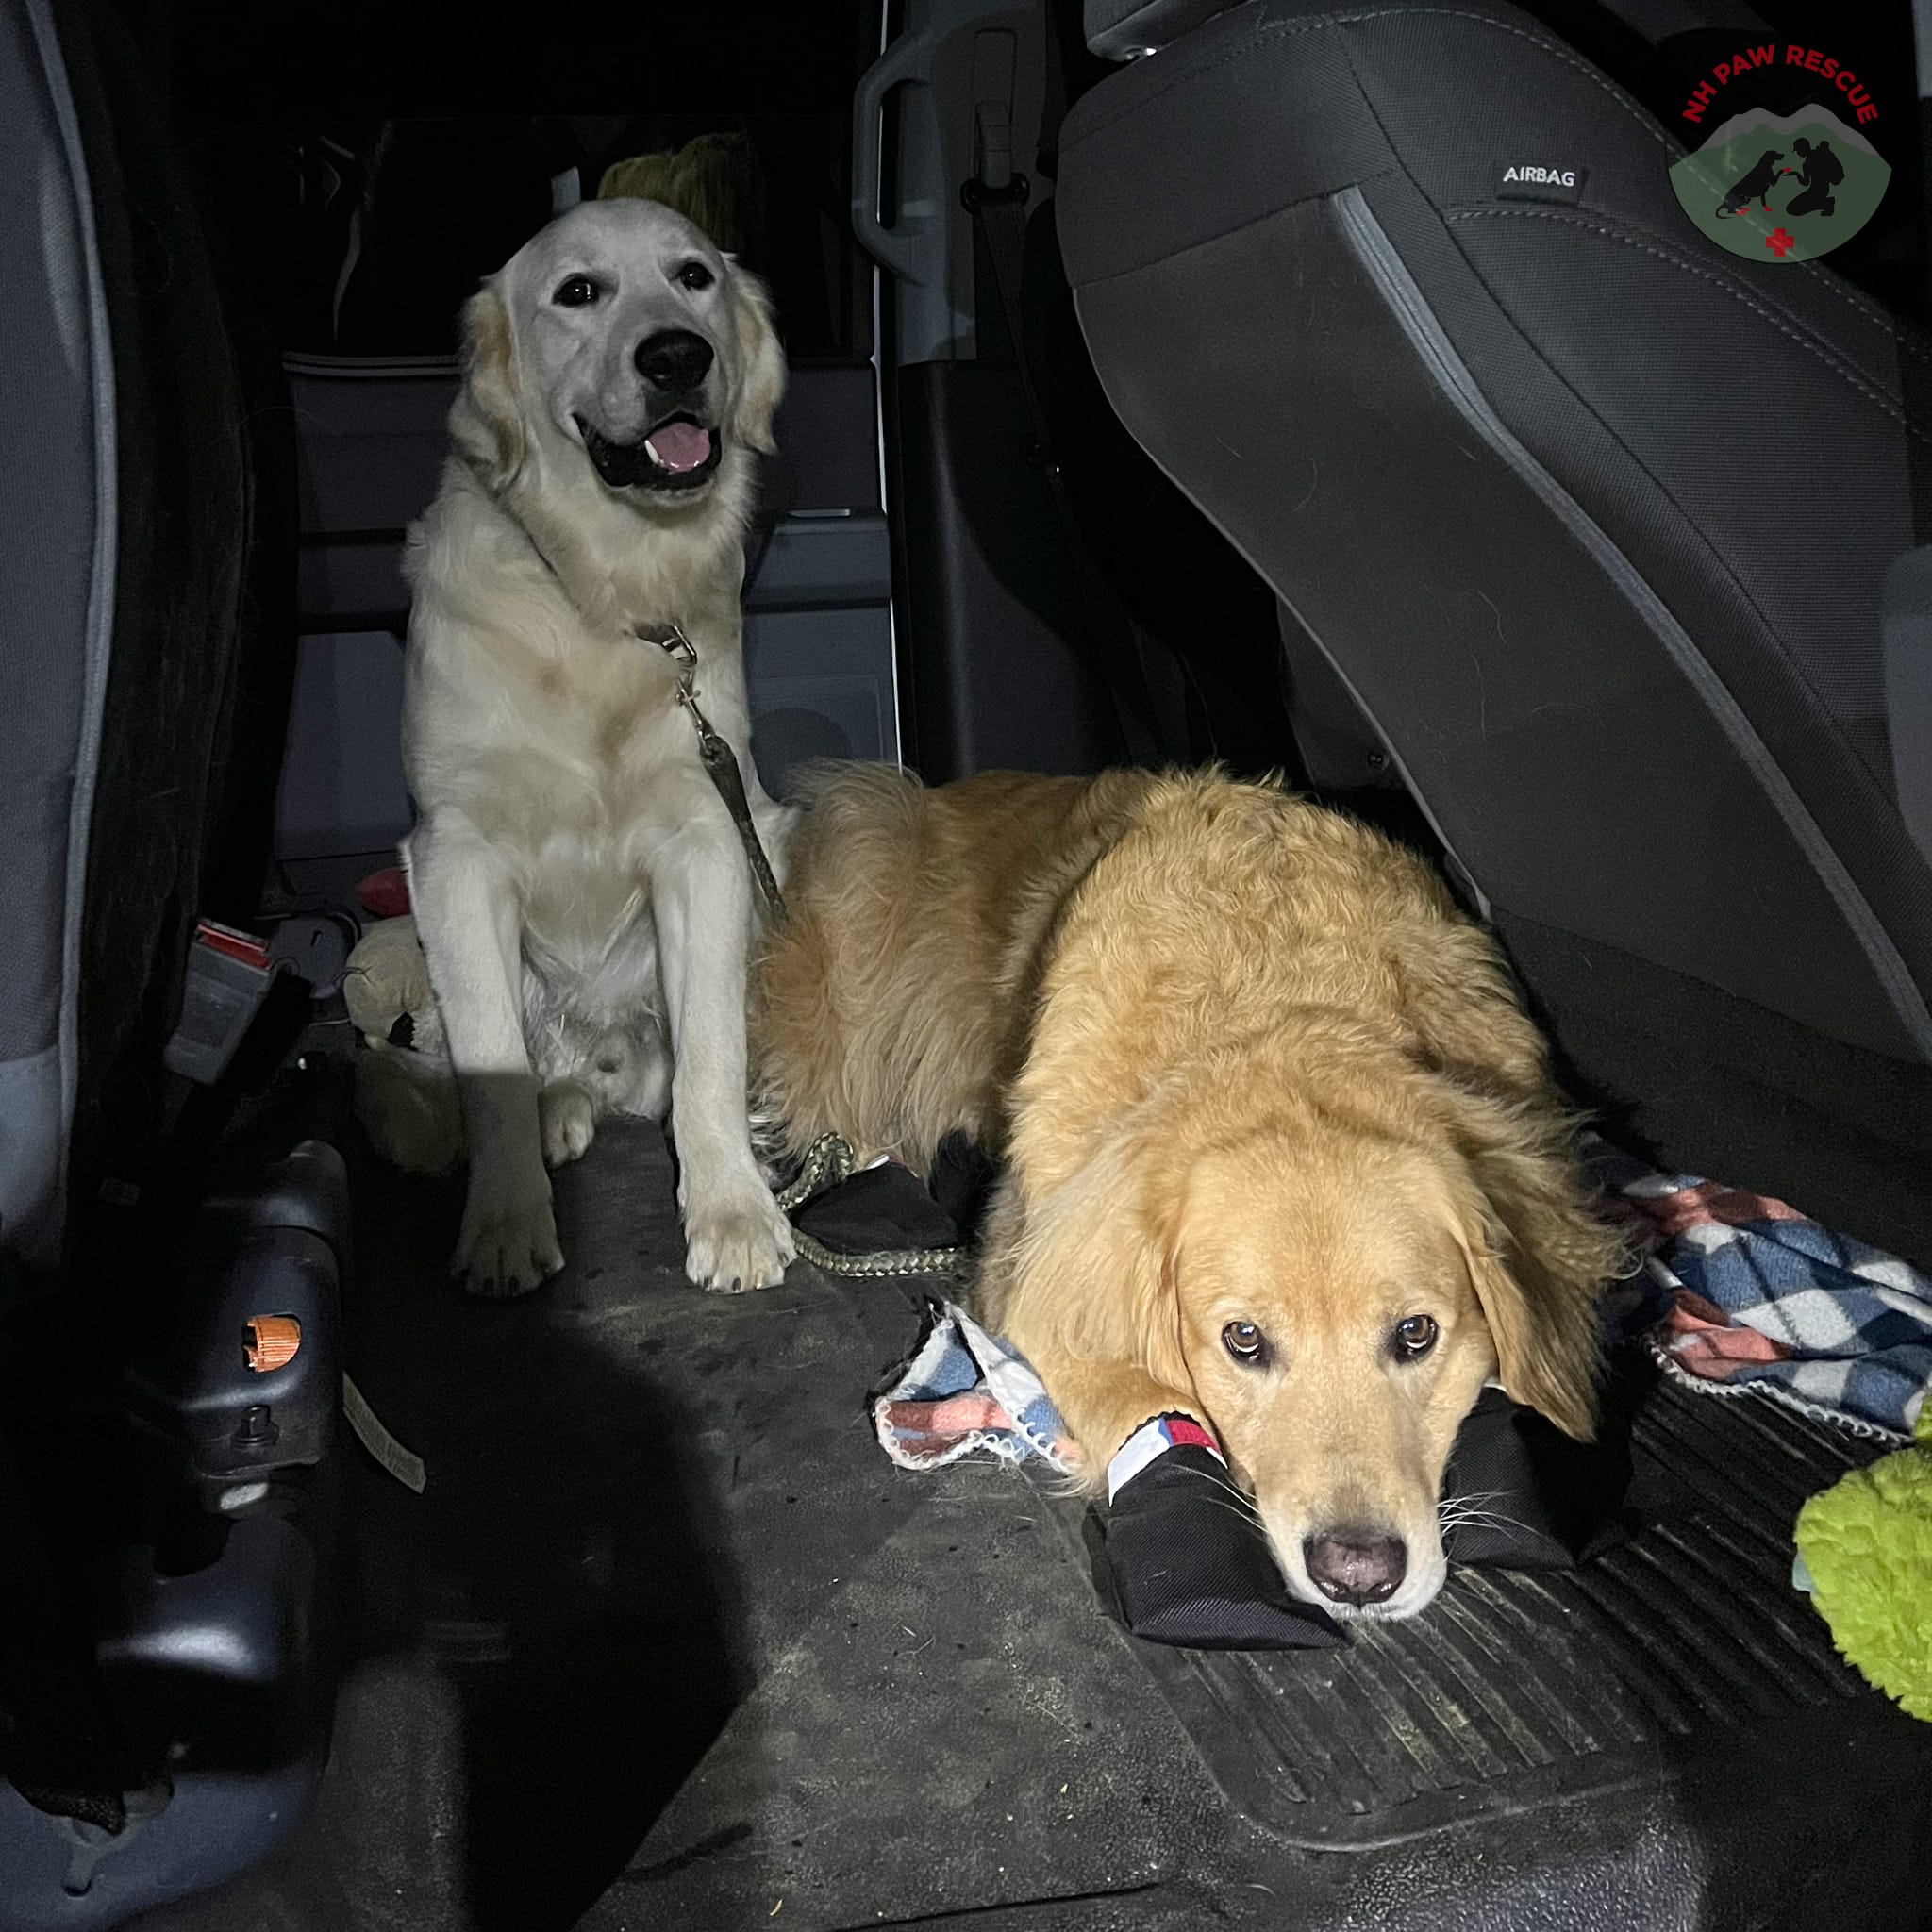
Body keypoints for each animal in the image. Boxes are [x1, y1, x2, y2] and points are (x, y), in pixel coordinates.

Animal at [388, 199, 795, 1298]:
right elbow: (492, 1064)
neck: (602, 599)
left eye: (694, 276)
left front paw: (732, 1211)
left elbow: (708, 1055)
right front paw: (504, 1224)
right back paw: (543, 1117)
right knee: (538, 1066)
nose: (678, 355)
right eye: (577, 292)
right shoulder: (455, 854)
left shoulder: (708, 839)